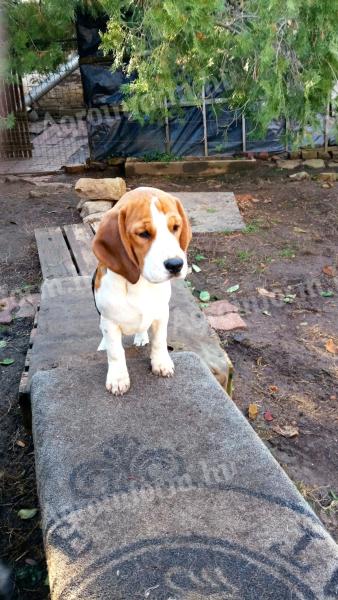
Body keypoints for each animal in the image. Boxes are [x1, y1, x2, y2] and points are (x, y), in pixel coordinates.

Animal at [92, 185, 191, 396]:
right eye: (144, 233)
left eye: (175, 227)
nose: (176, 265)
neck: (140, 283)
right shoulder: (109, 322)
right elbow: (115, 351)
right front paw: (118, 378)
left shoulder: (162, 314)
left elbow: (160, 341)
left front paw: (161, 363)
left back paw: (141, 337)